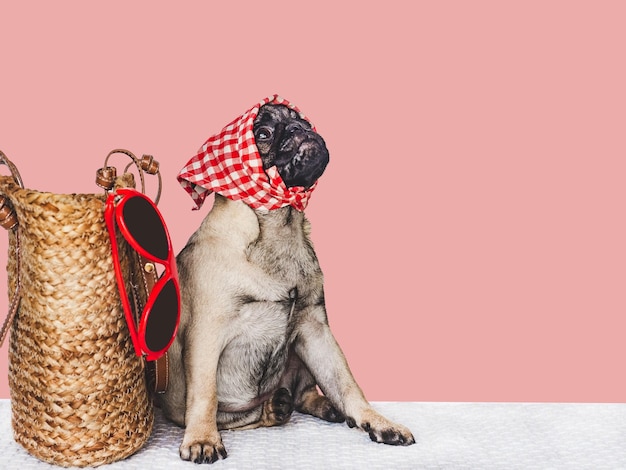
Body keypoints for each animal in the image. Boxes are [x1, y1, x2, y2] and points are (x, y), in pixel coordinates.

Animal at [160, 103, 414, 462]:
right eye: (263, 134)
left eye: (302, 120)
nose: (299, 129)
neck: (280, 225)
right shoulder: (206, 335)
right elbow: (204, 394)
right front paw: (202, 438)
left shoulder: (316, 328)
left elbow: (346, 382)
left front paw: (376, 420)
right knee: (250, 414)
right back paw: (275, 407)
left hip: (301, 349)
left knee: (305, 393)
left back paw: (314, 405)